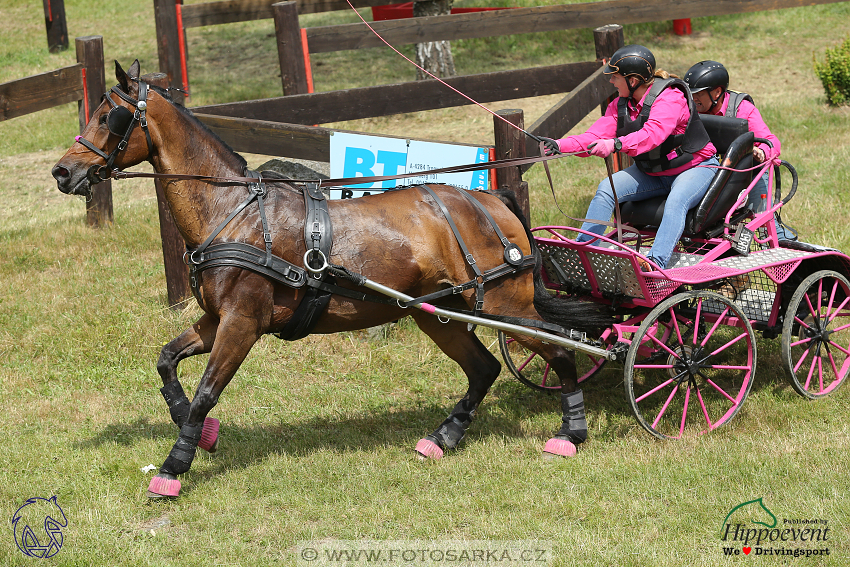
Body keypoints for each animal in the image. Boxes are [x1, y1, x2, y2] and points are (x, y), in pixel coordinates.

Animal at [53, 60, 608, 500]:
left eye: (109, 117)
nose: (62, 172)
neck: (233, 212)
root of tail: (493, 199)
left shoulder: (242, 322)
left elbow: (209, 389)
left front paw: (174, 465)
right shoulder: (216, 319)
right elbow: (167, 361)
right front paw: (197, 429)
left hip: (505, 306)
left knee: (560, 350)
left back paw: (571, 432)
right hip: (437, 314)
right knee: (485, 368)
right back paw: (443, 438)